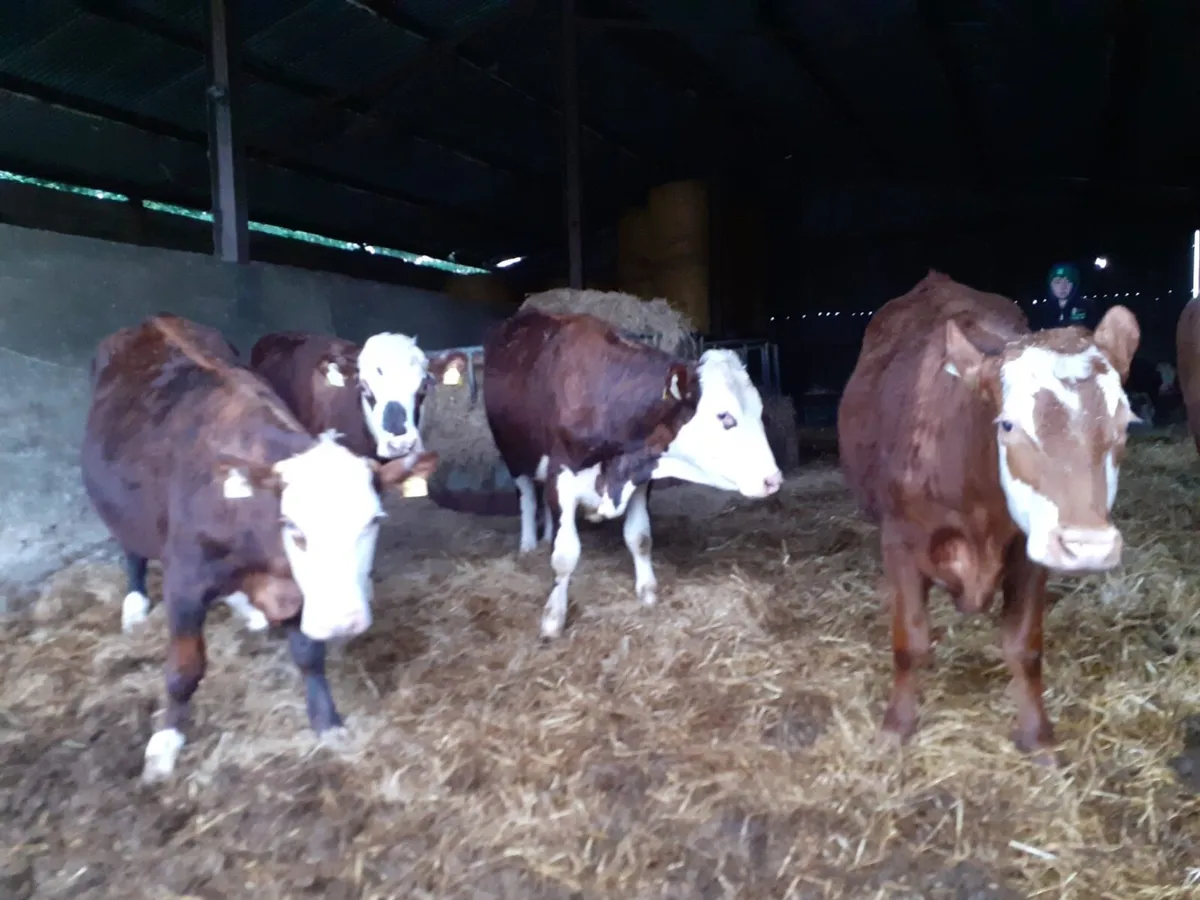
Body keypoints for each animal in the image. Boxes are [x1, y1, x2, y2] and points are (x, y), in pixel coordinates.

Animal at [81, 314, 428, 783]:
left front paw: (327, 722)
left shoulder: (300, 590)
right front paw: (165, 744)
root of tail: (155, 320)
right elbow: (184, 670)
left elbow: (309, 654)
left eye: (373, 520)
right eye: (292, 526)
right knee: (131, 546)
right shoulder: (185, 582)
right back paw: (135, 602)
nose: (342, 620)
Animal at [483, 309, 783, 640]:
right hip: (511, 451)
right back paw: (527, 545)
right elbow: (564, 555)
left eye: (760, 411)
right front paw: (552, 618)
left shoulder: (640, 476)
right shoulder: (561, 475)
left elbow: (639, 537)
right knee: (526, 496)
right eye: (724, 416)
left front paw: (647, 591)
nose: (773, 480)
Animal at [837, 271, 1140, 764]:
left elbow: (1024, 646)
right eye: (1008, 424)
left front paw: (1038, 737)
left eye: (1125, 424)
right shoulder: (899, 541)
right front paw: (895, 727)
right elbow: (910, 641)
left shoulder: (1030, 548)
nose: (1087, 546)